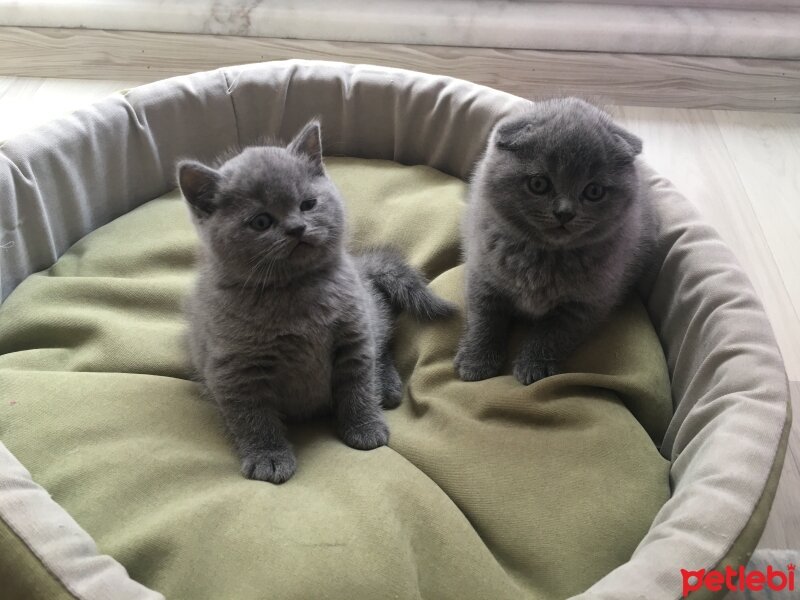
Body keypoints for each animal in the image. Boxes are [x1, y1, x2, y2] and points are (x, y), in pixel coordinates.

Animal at [456, 97, 656, 390]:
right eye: (539, 183)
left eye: (594, 191)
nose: (565, 213)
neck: (546, 256)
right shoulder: (483, 274)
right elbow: (484, 319)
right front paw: (476, 361)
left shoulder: (585, 304)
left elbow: (552, 334)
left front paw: (533, 366)